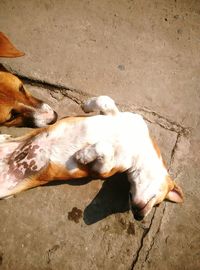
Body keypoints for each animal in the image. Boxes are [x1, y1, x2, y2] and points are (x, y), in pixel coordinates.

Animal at [0, 96, 183, 220]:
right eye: (158, 203)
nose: (138, 217)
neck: (139, 144)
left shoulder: (101, 171)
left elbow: (104, 149)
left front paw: (84, 154)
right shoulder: (121, 117)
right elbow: (106, 101)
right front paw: (87, 105)